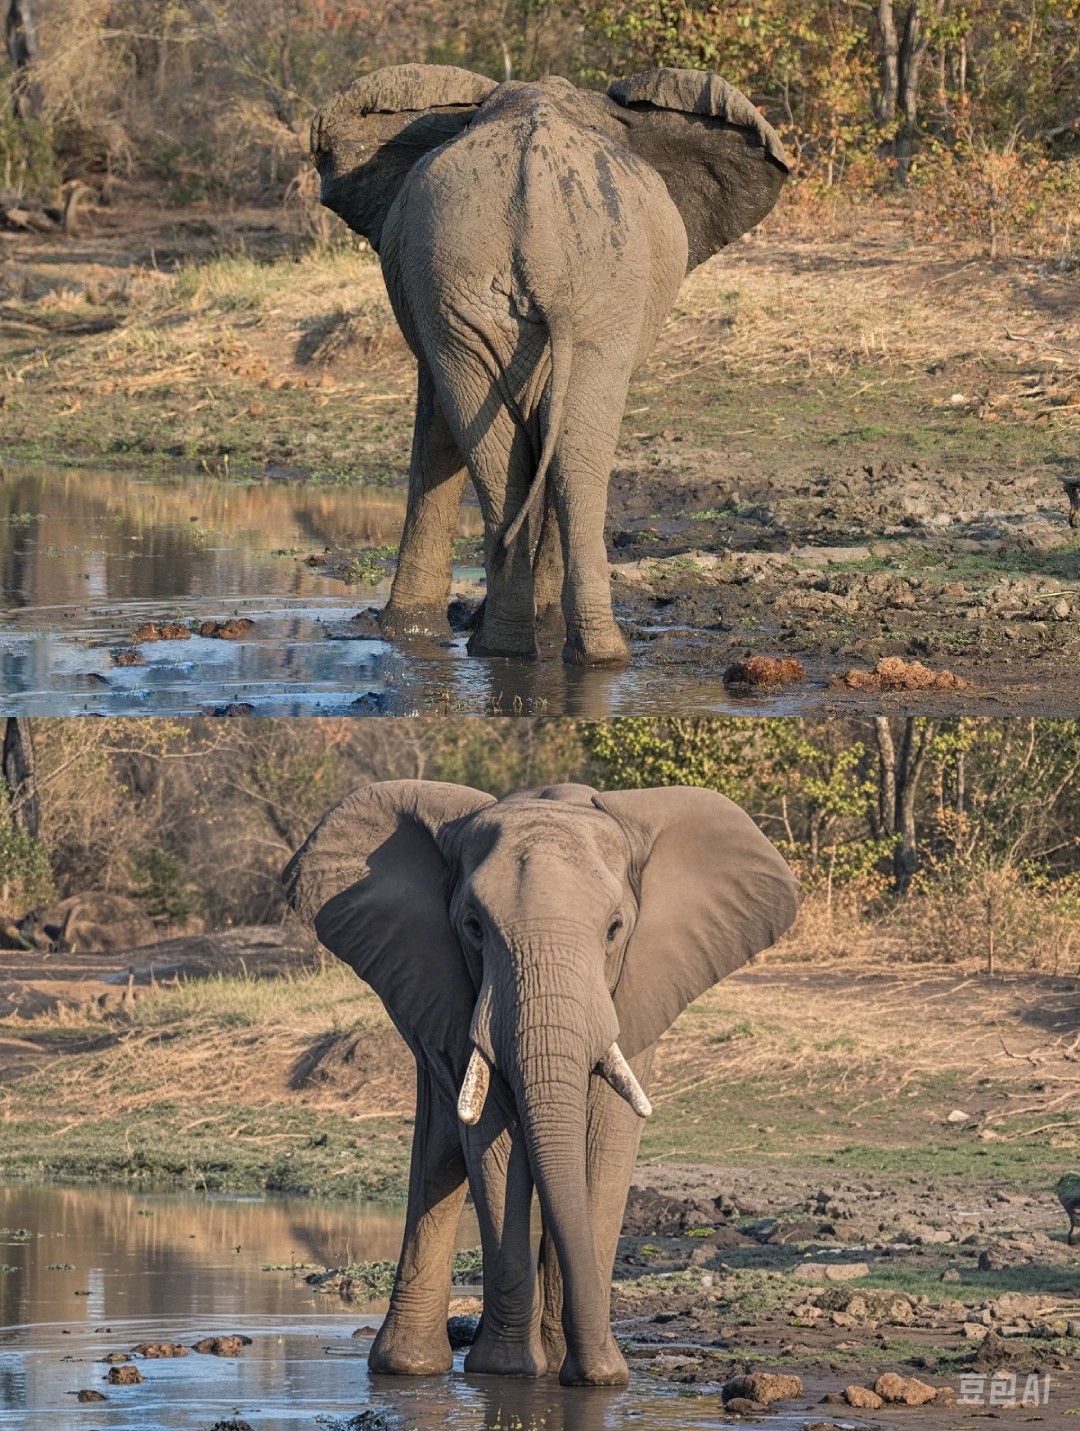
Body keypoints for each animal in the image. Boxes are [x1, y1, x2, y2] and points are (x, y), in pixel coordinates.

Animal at [283, 784, 801, 1385]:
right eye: (474, 927)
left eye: (614, 929)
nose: (605, 1370)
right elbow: (493, 1143)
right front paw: (509, 1372)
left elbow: (604, 1143)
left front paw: (583, 1374)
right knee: (440, 1153)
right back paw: (408, 1369)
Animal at [308, 64, 789, 666]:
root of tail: (541, 238)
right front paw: (410, 634)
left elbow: (440, 432)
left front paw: (410, 632)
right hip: (525, 295)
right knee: (561, 454)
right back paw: (555, 652)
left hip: (550, 298)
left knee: (544, 454)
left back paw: (531, 649)